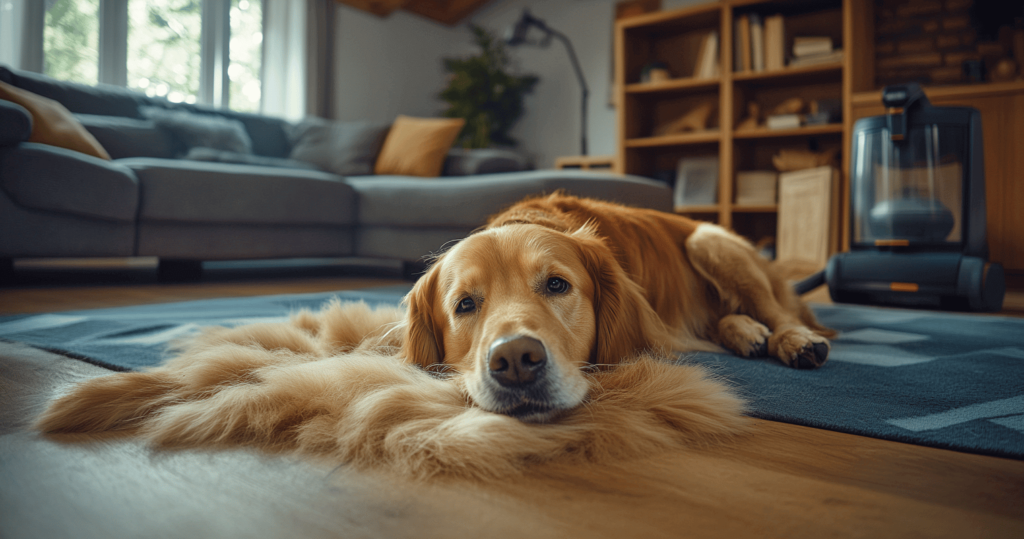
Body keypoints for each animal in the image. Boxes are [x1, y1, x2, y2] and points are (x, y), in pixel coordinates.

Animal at [36, 194, 827, 481]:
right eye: (465, 304)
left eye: (558, 286)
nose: (517, 362)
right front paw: (103, 393)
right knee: (730, 317)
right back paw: (747, 332)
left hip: (712, 239)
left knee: (776, 307)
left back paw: (790, 338)